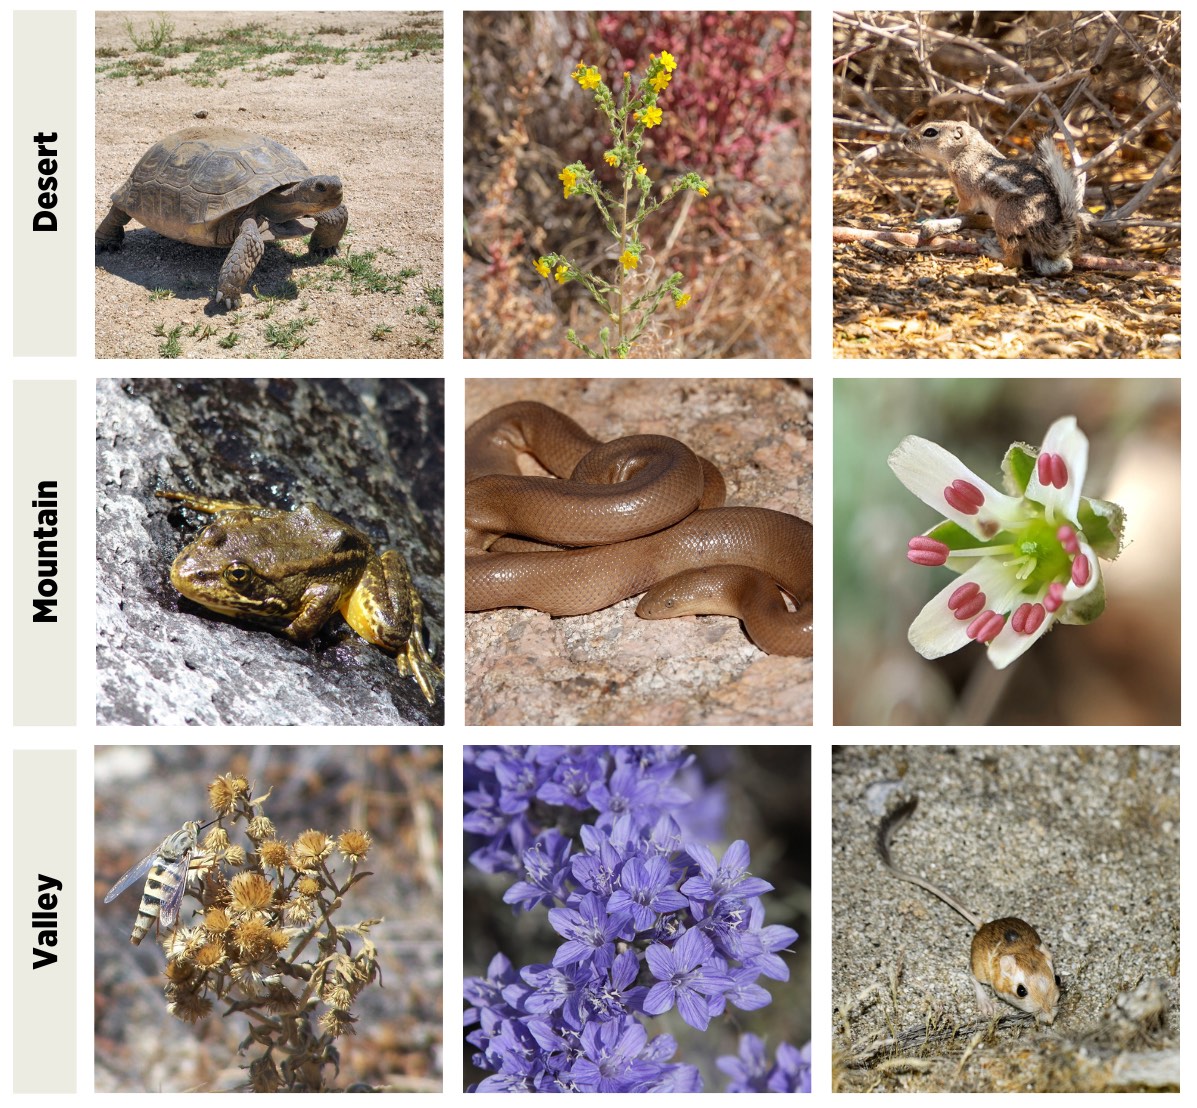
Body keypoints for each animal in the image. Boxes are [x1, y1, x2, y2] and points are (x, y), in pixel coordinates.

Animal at [903, 119, 1090, 276]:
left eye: (930, 132)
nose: (904, 139)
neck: (967, 147)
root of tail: (1057, 230)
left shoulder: (965, 190)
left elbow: (963, 208)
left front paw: (951, 217)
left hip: (1004, 218)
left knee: (1015, 260)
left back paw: (993, 253)